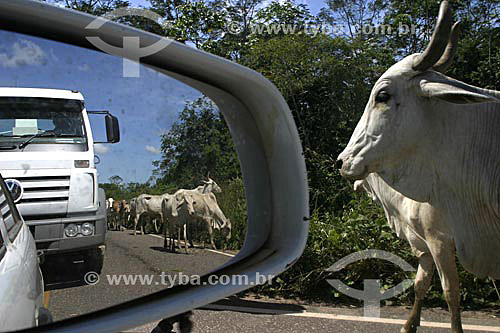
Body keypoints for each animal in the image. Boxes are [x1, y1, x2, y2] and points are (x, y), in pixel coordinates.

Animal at [338, 3, 500, 332]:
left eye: (382, 95)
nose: (342, 161)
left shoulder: (440, 241)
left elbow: (451, 292)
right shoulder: (423, 245)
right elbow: (421, 284)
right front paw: (409, 324)